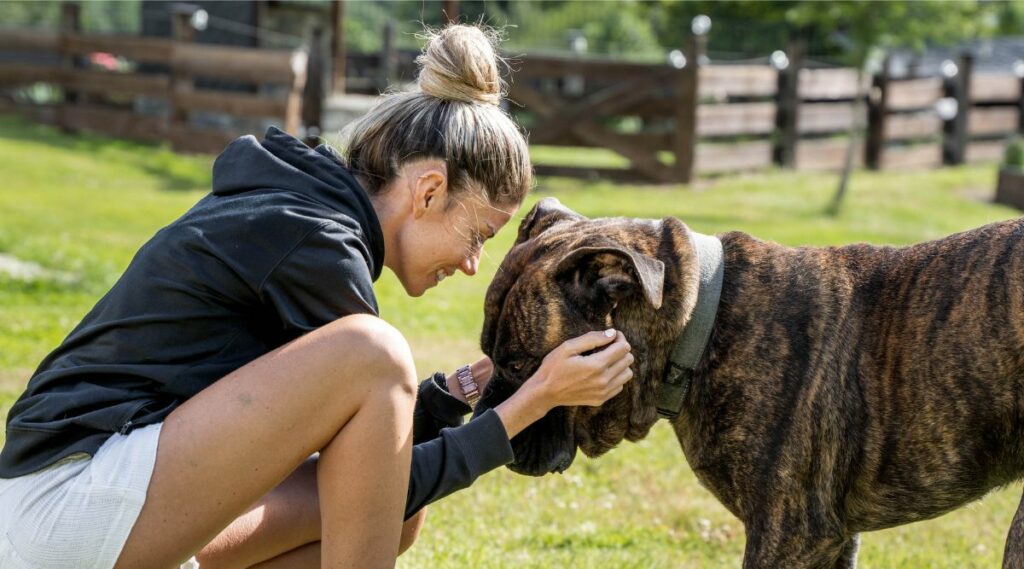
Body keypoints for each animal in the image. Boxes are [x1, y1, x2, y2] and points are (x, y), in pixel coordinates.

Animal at [477, 197, 1024, 564]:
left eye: (521, 365)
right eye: (487, 355)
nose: (487, 420)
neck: (702, 323)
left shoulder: (791, 534)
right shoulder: (834, 539)